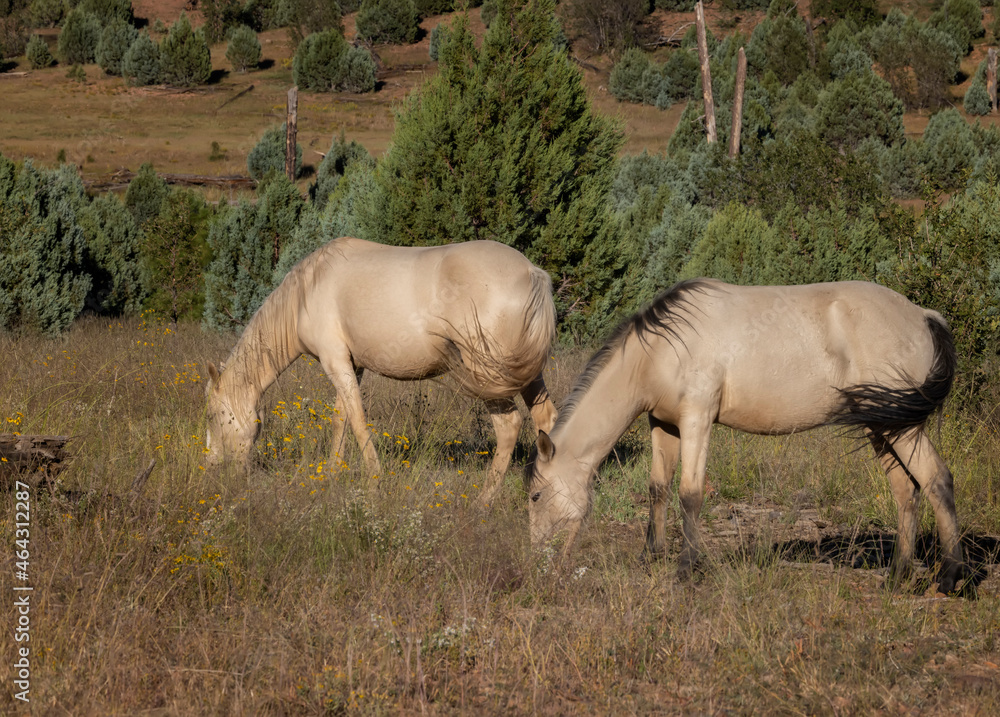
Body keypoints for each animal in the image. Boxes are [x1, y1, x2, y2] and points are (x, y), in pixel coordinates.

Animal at [206, 237, 558, 505]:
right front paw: (332, 473)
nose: (213, 467)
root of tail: (532, 272)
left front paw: (374, 481)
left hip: (489, 377)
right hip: (527, 376)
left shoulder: (335, 361)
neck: (307, 289)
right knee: (545, 419)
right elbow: (341, 417)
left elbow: (358, 421)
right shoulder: (352, 365)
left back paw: (484, 499)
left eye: (213, 416)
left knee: (509, 425)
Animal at [526, 278, 967, 593]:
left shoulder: (697, 420)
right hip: (882, 424)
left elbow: (690, 493)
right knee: (905, 491)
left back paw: (950, 578)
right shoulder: (663, 425)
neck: (660, 350)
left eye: (535, 496)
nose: (540, 562)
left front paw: (686, 569)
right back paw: (897, 576)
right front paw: (650, 556)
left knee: (936, 480)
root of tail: (923, 315)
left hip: (901, 426)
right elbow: (658, 488)